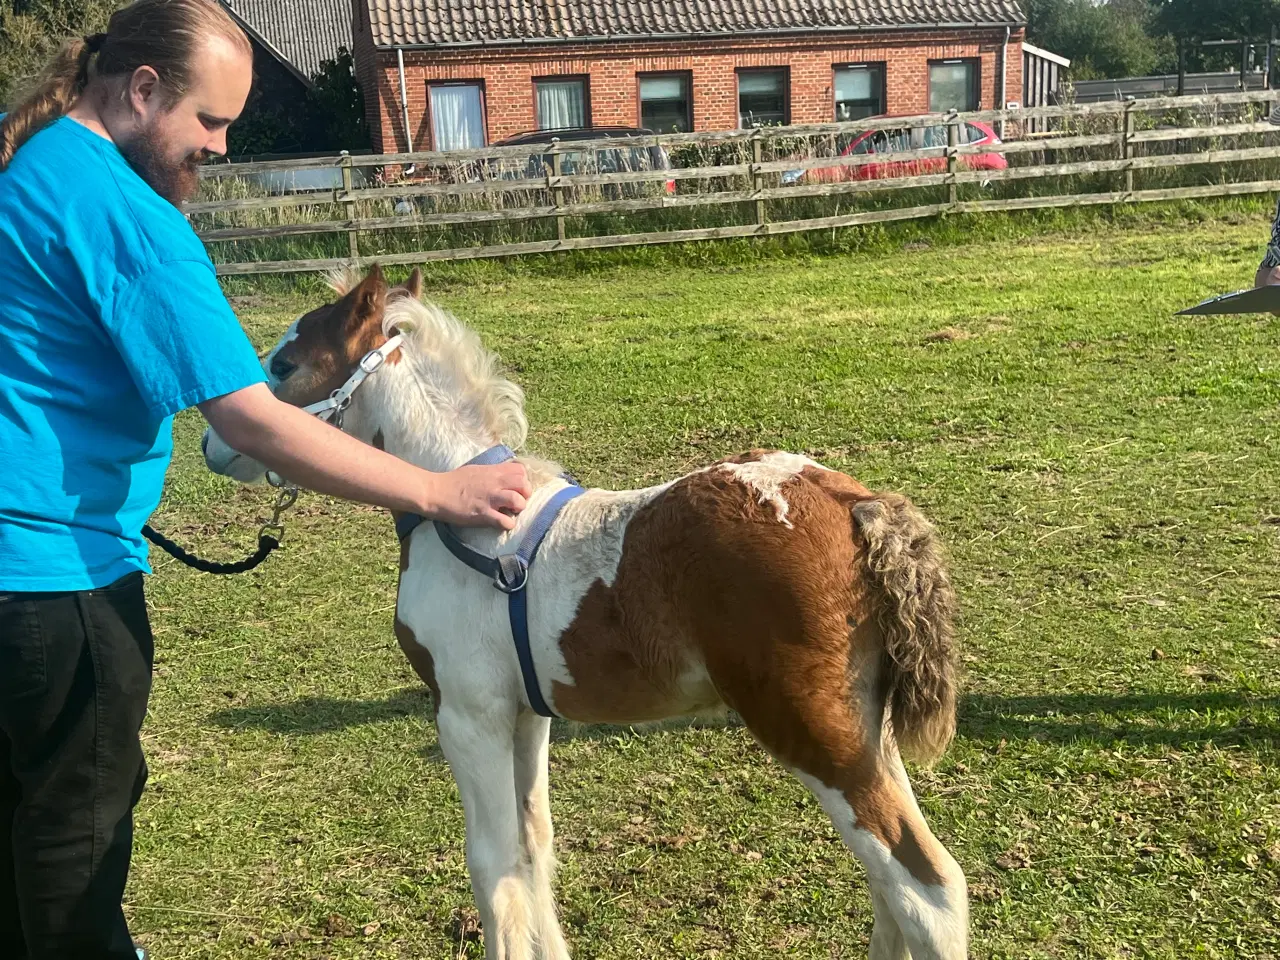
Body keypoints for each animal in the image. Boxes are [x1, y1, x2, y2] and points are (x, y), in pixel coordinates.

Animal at [202, 264, 962, 960]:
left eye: (285, 363)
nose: (213, 442)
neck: (465, 514)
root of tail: (854, 503)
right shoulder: (526, 714)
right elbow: (534, 848)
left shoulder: (467, 715)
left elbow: (495, 869)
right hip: (866, 728)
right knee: (892, 886)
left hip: (812, 725)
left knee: (926, 890)